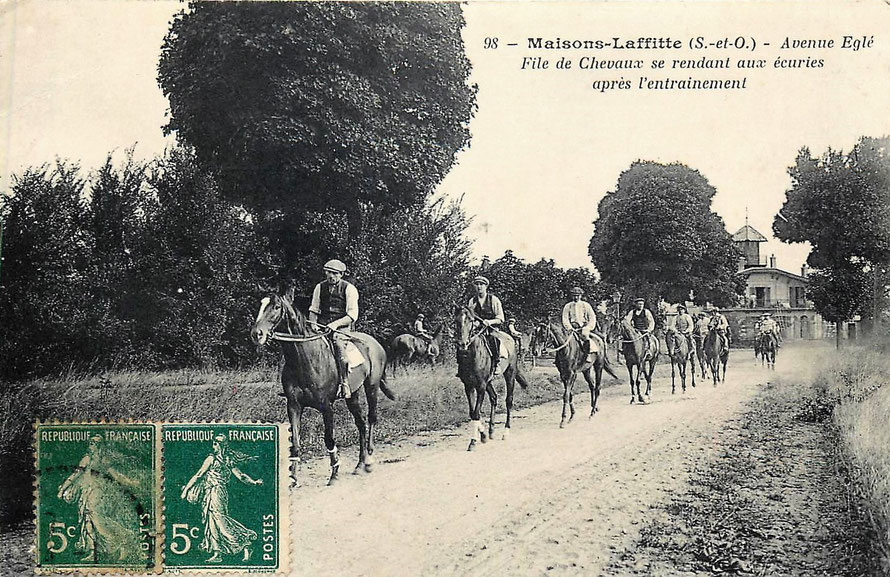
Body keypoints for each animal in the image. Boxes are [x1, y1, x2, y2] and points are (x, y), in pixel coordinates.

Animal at [248, 292, 390, 486]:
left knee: (371, 418)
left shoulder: (326, 406)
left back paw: (368, 461)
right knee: (360, 423)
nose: (257, 334)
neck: (304, 359)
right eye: (260, 305)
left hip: (372, 387)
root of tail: (375, 343)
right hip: (352, 396)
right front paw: (293, 478)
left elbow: (329, 439)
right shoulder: (293, 406)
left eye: (276, 307)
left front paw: (334, 473)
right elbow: (295, 443)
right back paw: (359, 464)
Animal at [450, 306, 528, 450]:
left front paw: (473, 441)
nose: (462, 344)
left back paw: (505, 432)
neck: (471, 355)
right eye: (456, 320)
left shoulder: (480, 386)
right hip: (489, 382)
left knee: (509, 401)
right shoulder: (469, 386)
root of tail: (510, 338)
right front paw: (483, 434)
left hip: (510, 374)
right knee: (494, 397)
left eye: (470, 320)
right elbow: (472, 413)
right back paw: (491, 430)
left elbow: (476, 412)